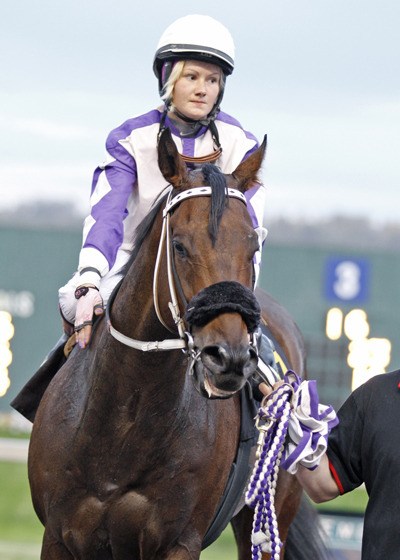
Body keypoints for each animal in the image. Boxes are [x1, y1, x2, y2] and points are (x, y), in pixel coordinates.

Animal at [27, 129, 322, 560]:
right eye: (180, 245)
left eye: (253, 247)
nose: (228, 357)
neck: (125, 425)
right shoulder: (59, 537)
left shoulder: (179, 541)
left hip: (269, 518)